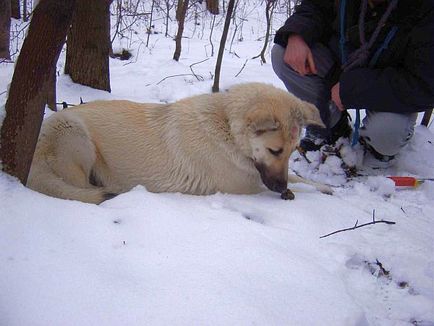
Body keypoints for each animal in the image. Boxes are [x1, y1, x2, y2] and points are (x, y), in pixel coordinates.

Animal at [28, 83, 332, 202]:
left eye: (291, 152)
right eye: (274, 150)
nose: (278, 188)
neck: (226, 127)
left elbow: (299, 178)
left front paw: (325, 187)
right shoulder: (247, 185)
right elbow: (296, 183)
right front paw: (306, 189)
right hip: (75, 134)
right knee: (83, 189)